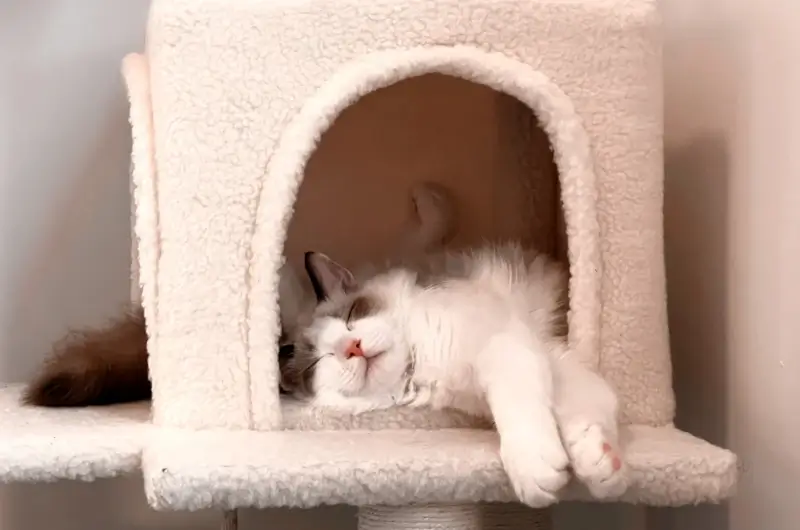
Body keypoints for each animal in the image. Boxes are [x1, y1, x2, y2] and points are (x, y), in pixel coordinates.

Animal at [282, 243, 632, 504]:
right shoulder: (534, 354)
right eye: (319, 361)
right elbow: (577, 405)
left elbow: (562, 407)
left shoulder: (512, 345)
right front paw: (587, 464)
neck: (419, 360)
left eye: (352, 316)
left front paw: (584, 465)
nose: (352, 347)